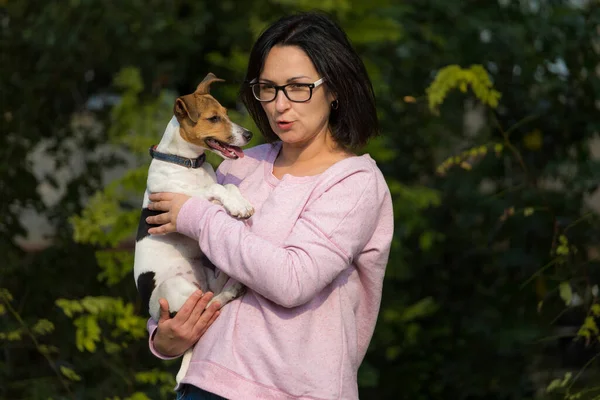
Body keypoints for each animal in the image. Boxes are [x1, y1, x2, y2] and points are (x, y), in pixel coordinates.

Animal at [132, 73, 252, 386]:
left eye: (226, 113)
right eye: (213, 118)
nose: (248, 135)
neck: (188, 164)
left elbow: (228, 186)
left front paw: (242, 203)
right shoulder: (179, 198)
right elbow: (216, 189)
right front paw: (237, 207)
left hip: (203, 276)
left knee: (211, 295)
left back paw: (230, 281)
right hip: (174, 287)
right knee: (210, 306)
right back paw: (231, 290)